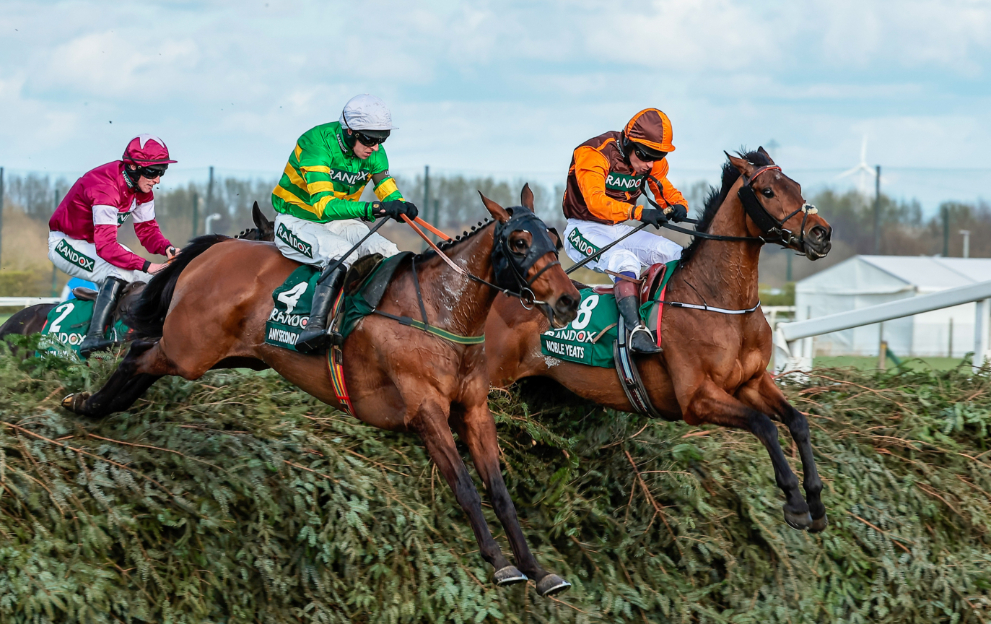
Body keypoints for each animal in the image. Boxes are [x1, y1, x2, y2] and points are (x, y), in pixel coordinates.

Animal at [62, 189, 584, 596]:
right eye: (519, 242)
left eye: (554, 238)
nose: (569, 301)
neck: (441, 311)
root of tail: (216, 250)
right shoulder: (426, 412)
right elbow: (466, 489)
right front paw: (502, 565)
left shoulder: (473, 410)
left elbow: (499, 491)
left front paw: (538, 569)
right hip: (189, 350)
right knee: (138, 354)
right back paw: (86, 401)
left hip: (231, 354)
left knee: (143, 357)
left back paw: (94, 400)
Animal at [484, 150, 832, 532]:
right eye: (768, 191)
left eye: (797, 186)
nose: (821, 232)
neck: (719, 301)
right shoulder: (697, 399)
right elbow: (765, 426)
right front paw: (795, 502)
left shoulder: (752, 382)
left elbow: (798, 422)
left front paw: (815, 501)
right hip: (494, 381)